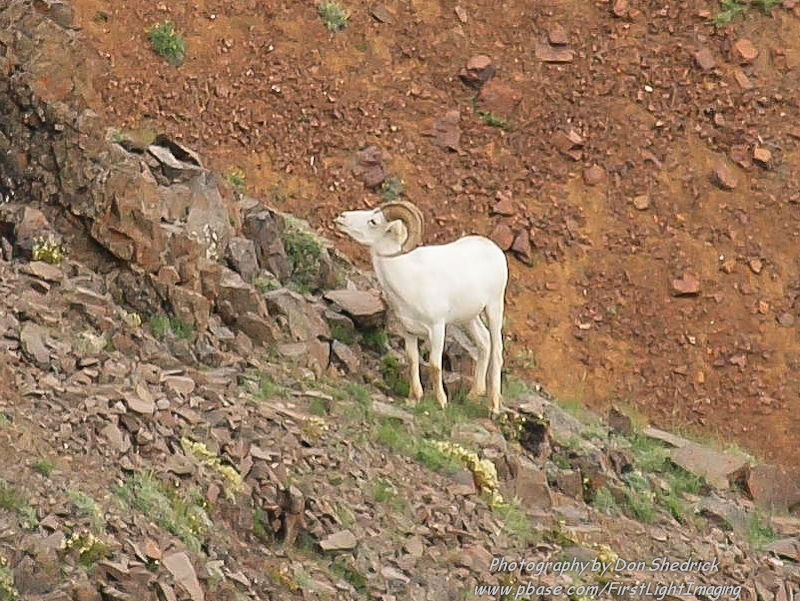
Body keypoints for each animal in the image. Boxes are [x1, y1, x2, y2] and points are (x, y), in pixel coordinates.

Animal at [334, 200, 510, 412]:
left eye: (373, 221)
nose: (341, 217)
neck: (409, 278)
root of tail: (493, 249)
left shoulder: (437, 328)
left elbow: (434, 365)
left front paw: (441, 402)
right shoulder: (408, 330)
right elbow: (412, 360)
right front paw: (414, 398)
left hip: (494, 308)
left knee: (497, 350)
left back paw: (493, 406)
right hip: (469, 318)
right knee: (484, 342)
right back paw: (473, 396)